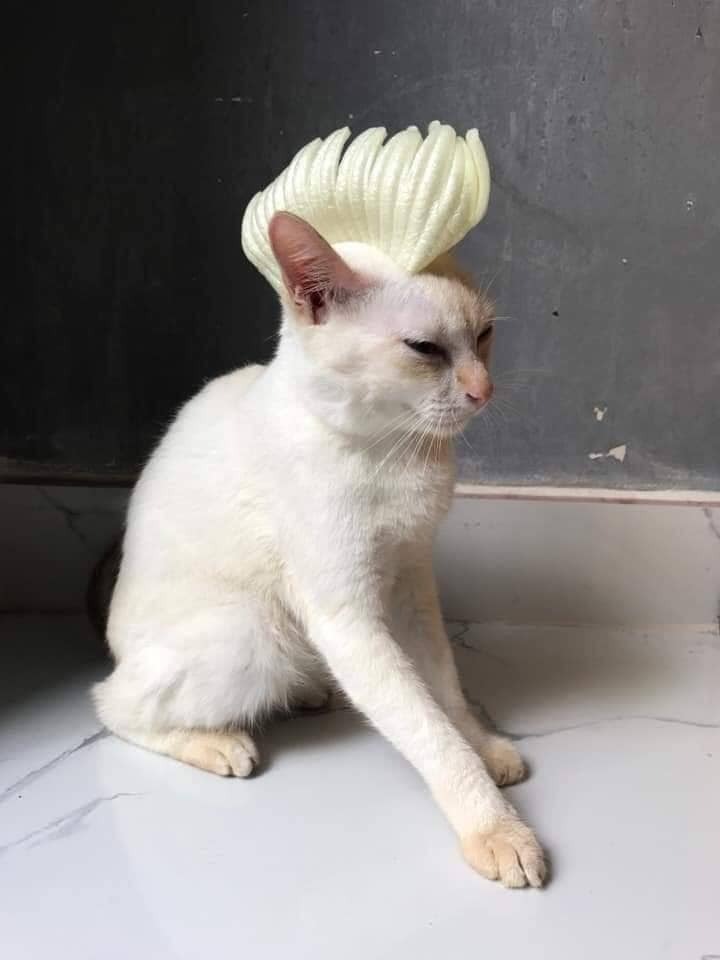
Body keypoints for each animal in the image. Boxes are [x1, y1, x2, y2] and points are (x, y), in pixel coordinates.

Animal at [93, 212, 546, 889]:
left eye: (485, 335)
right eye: (425, 349)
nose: (483, 390)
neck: (392, 449)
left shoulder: (413, 583)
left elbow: (445, 690)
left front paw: (484, 746)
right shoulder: (348, 618)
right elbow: (429, 732)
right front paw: (496, 828)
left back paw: (306, 694)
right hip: (255, 633)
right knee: (111, 706)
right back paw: (217, 741)